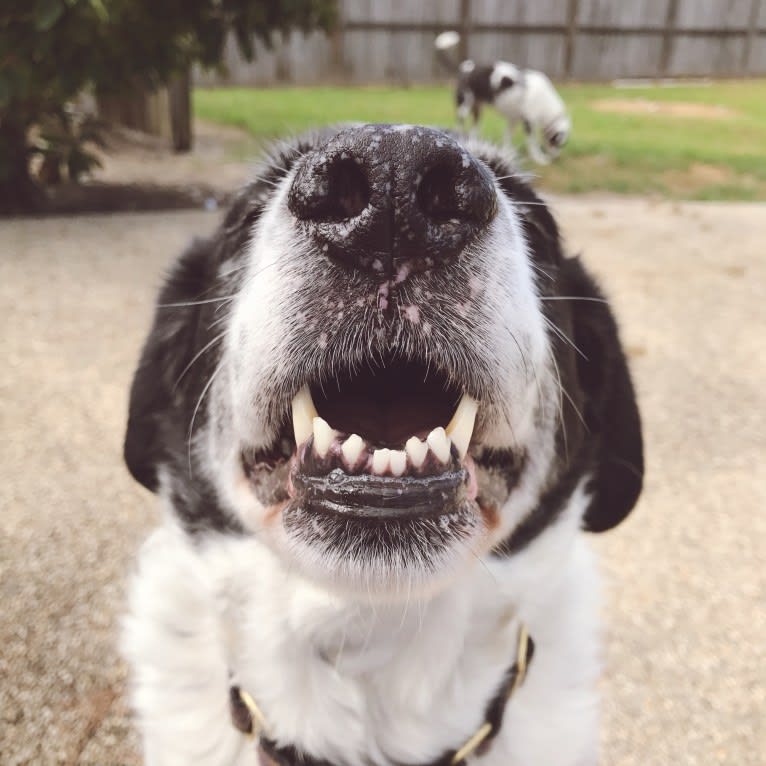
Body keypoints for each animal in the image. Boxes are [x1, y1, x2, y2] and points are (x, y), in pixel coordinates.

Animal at [436, 30, 572, 165]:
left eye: (562, 145)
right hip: (464, 107)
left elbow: (507, 137)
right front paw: (539, 159)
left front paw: (508, 153)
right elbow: (532, 143)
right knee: (459, 125)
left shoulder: (513, 119)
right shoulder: (529, 123)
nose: (556, 157)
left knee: (474, 130)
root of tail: (465, 67)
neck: (546, 106)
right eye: (557, 143)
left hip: (477, 110)